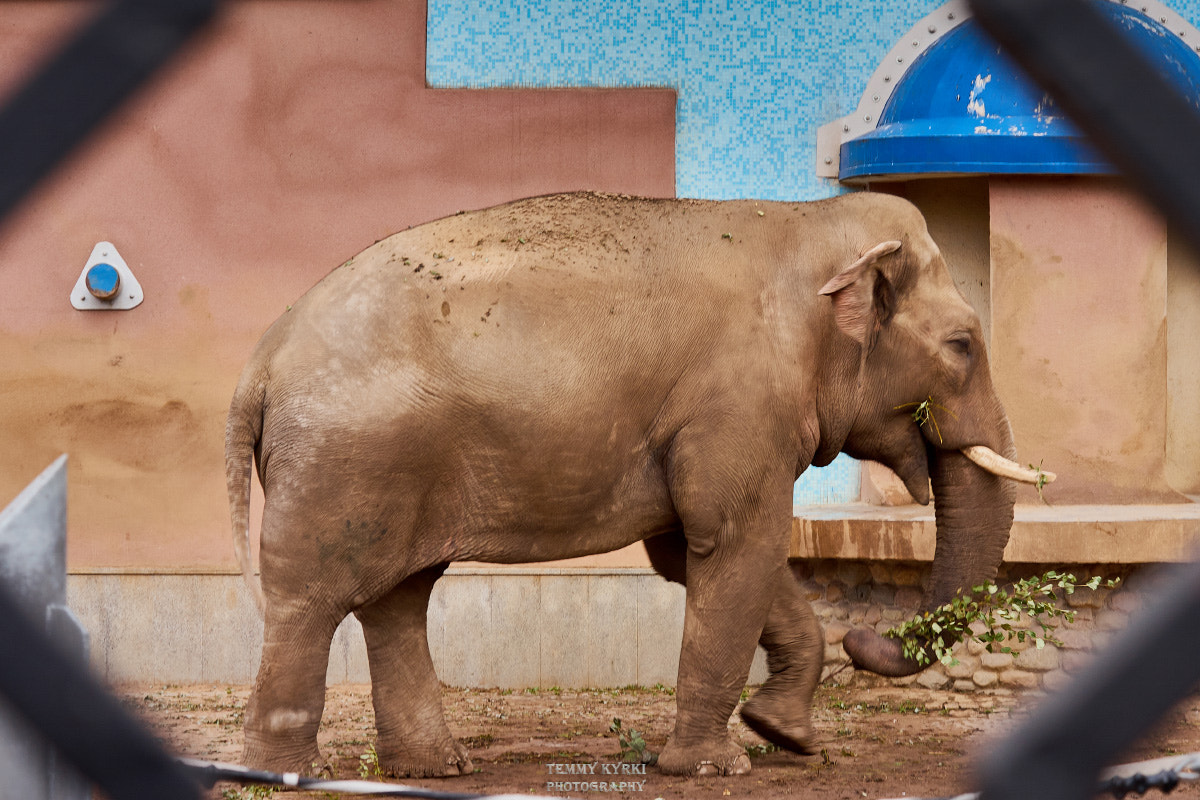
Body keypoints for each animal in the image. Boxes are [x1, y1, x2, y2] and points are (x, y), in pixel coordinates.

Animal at [225, 190, 1042, 779]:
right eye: (962, 346)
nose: (865, 637)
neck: (809, 223)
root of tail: (263, 357)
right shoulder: (739, 405)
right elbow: (734, 544)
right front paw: (716, 768)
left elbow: (692, 551)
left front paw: (786, 735)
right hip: (343, 462)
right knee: (312, 602)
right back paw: (290, 776)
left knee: (398, 599)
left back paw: (435, 769)